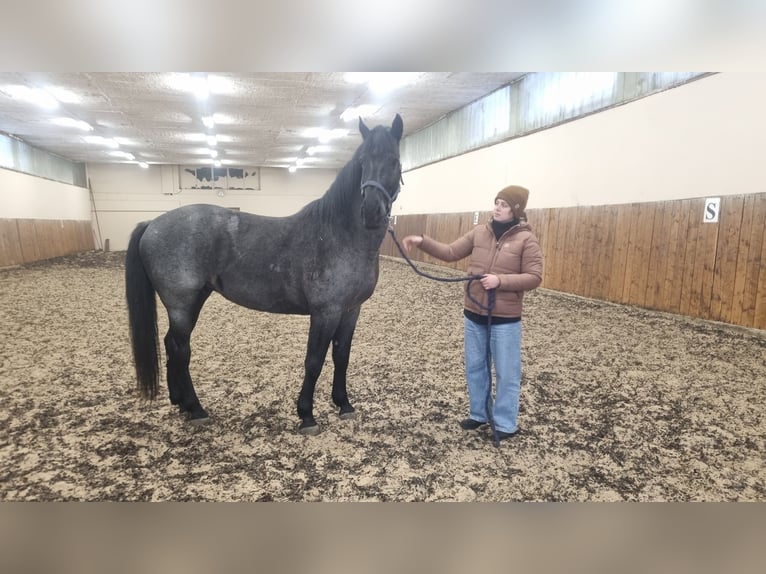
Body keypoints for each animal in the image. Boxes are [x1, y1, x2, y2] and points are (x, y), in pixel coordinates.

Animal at [125, 114, 404, 435]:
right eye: (362, 162)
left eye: (394, 160)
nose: (371, 211)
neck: (339, 235)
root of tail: (152, 223)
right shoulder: (325, 312)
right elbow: (314, 361)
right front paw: (307, 415)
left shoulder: (351, 310)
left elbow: (341, 356)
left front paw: (343, 404)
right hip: (182, 304)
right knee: (180, 349)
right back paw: (196, 409)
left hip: (192, 301)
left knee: (171, 346)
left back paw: (180, 403)